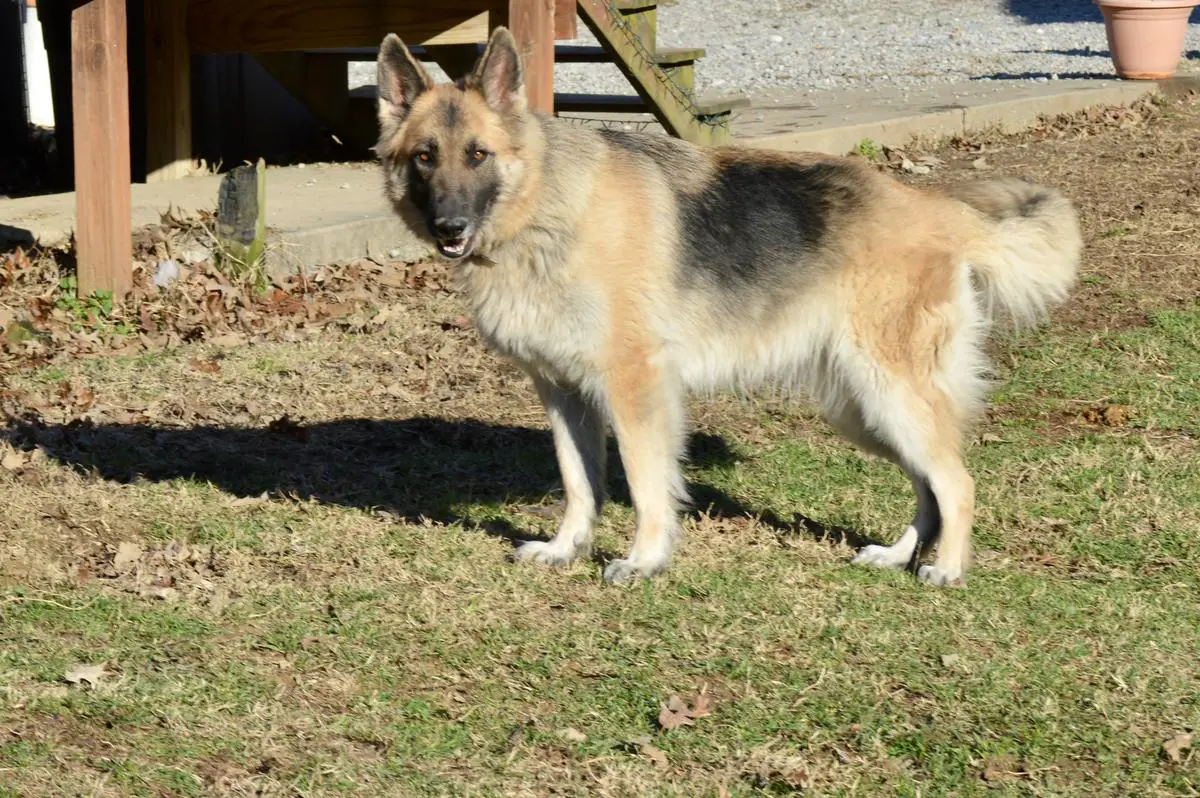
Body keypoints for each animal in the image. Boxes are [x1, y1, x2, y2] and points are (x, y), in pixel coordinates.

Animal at [372, 28, 1080, 585]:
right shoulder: (563, 393)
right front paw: (566, 549)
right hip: (863, 409)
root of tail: (938, 209)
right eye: (425, 158)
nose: (449, 227)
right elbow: (580, 481)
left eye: (479, 155)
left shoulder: (635, 389)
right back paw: (898, 556)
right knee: (928, 485)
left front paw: (645, 560)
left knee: (956, 483)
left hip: (891, 395)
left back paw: (947, 569)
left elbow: (645, 480)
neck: (547, 206)